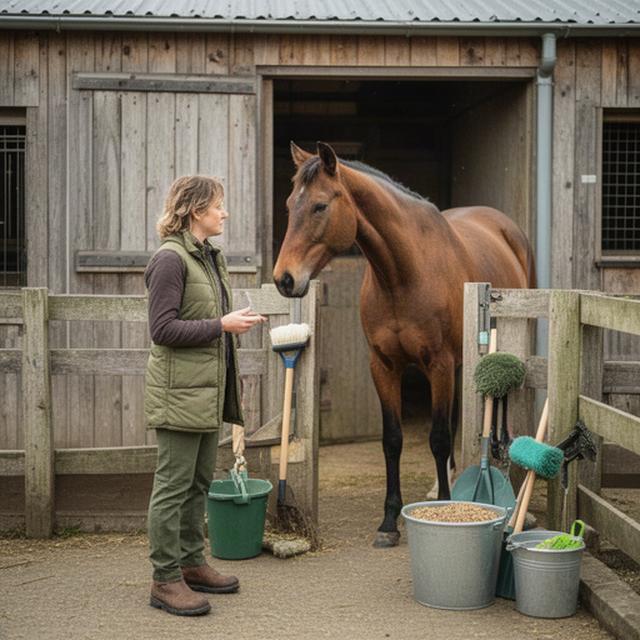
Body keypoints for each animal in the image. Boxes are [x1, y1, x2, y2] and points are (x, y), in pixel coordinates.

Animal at [273, 141, 535, 548]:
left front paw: (445, 506)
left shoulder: (438, 364)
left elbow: (439, 437)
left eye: (319, 206)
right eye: (289, 205)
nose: (284, 279)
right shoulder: (383, 365)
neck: (403, 274)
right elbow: (392, 439)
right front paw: (389, 521)